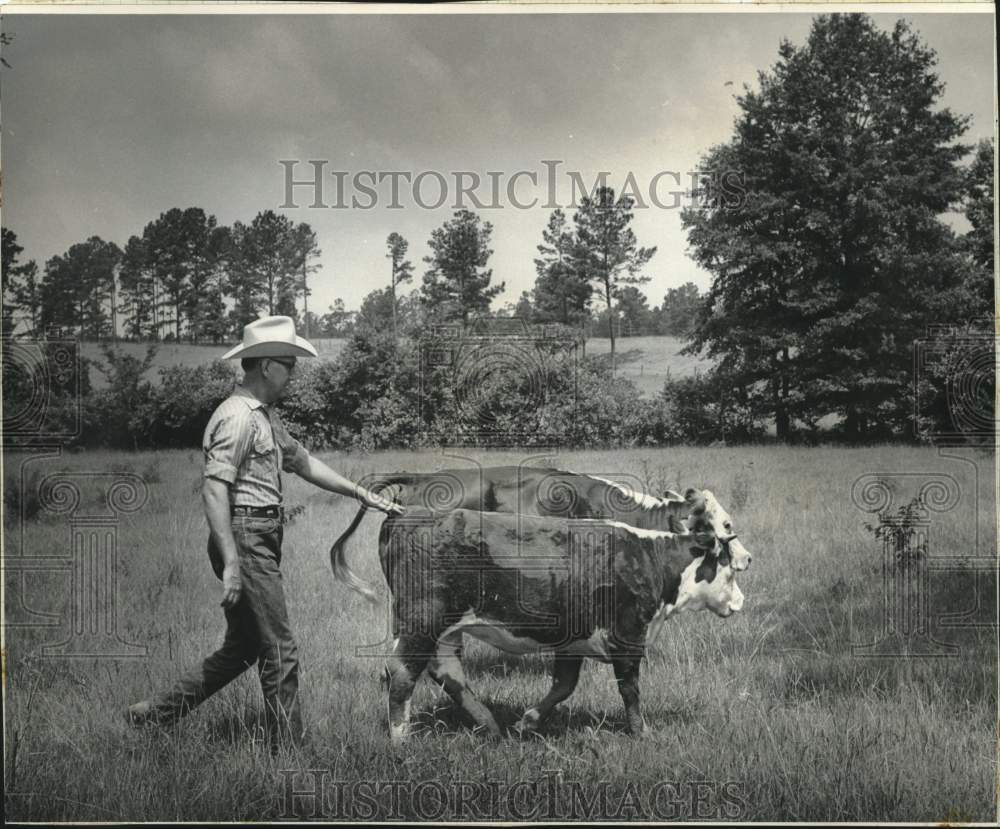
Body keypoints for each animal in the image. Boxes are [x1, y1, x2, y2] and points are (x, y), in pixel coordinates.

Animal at [332, 494, 748, 740]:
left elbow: (563, 686)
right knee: (402, 673)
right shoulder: (628, 636)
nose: (741, 601)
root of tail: (407, 513)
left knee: (446, 672)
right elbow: (630, 690)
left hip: (445, 628)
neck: (649, 557)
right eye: (728, 567)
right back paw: (401, 740)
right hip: (422, 620)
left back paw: (489, 724)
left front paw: (527, 721)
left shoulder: (573, 640)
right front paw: (640, 733)